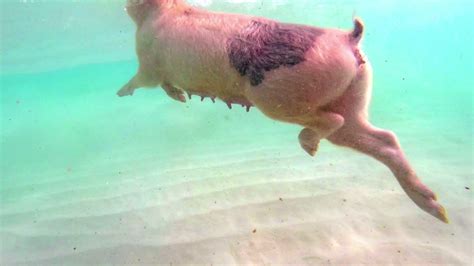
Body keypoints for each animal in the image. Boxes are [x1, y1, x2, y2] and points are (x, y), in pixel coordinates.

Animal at [117, 0, 448, 222]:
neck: (161, 11)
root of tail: (346, 38)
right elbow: (164, 85)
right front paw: (181, 98)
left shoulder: (147, 61)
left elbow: (143, 79)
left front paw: (122, 92)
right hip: (352, 99)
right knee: (385, 138)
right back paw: (436, 210)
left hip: (278, 98)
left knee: (332, 121)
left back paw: (309, 147)